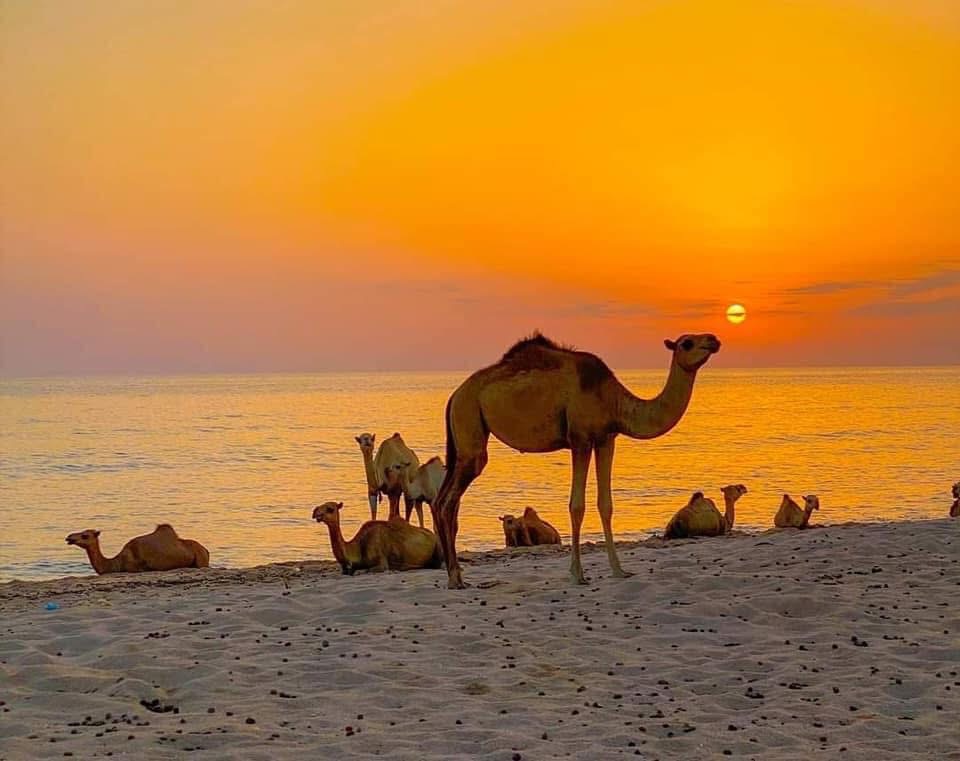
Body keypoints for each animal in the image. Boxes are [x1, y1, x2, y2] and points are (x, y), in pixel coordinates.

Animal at [65, 524, 210, 574]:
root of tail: (206, 549)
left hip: (201, 559)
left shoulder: (135, 568)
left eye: (85, 535)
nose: (69, 537)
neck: (116, 563)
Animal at [312, 501, 442, 574]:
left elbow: (368, 569)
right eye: (319, 507)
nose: (315, 512)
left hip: (438, 546)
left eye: (330, 509)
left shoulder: (382, 562)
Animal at [433, 331, 721, 588]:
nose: (714, 340)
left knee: (442, 502)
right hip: (469, 423)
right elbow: (576, 506)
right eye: (687, 342)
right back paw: (455, 578)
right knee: (449, 501)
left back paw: (455, 576)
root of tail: (454, 396)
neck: (613, 400)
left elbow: (606, 504)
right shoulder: (580, 439)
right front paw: (577, 575)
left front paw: (619, 570)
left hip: (463, 437)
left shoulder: (606, 438)